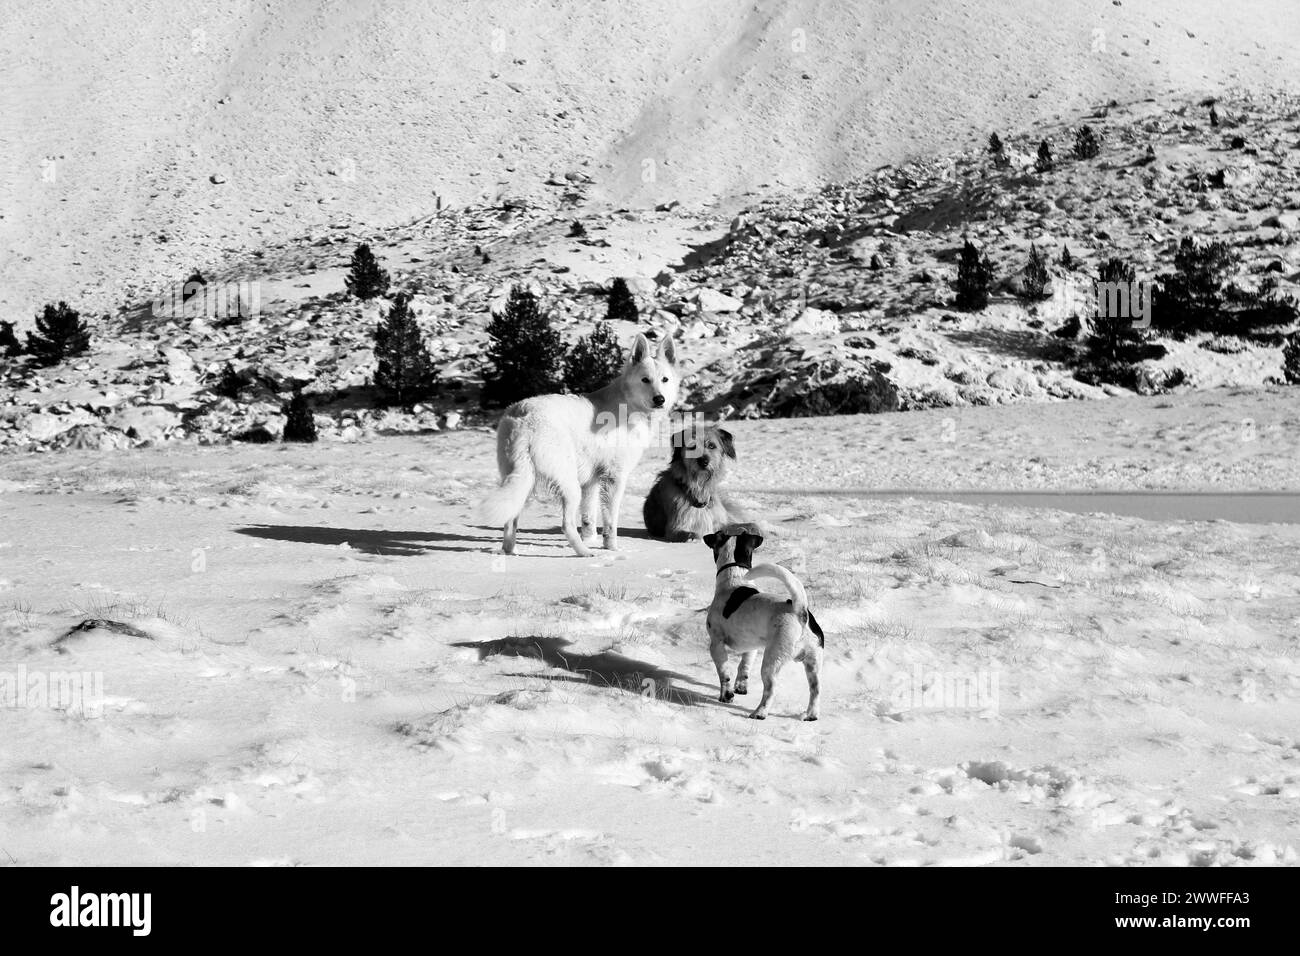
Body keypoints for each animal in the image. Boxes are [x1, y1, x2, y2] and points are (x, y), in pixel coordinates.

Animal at [478, 332, 681, 556]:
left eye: (664, 380)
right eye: (646, 380)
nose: (660, 399)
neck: (629, 405)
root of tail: (525, 420)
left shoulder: (591, 482)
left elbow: (589, 518)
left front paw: (592, 539)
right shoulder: (614, 478)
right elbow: (611, 521)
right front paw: (611, 548)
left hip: (524, 480)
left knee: (510, 521)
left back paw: (510, 551)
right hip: (569, 483)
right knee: (566, 525)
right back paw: (584, 553)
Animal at [702, 528, 821, 723]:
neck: (735, 577)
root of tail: (800, 611)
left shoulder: (716, 644)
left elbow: (724, 673)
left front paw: (726, 695)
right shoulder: (752, 646)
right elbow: (744, 667)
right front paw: (741, 687)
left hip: (772, 661)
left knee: (770, 689)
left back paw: (759, 713)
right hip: (814, 662)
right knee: (815, 689)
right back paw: (811, 715)